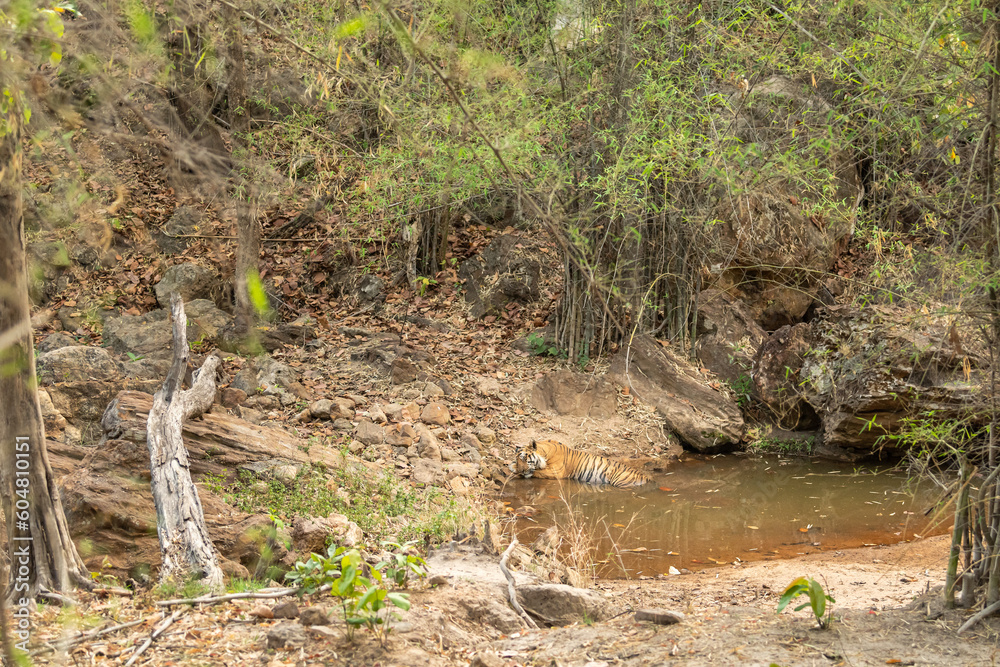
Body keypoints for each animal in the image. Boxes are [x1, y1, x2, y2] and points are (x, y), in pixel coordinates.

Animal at [510, 439, 652, 488]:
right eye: (518, 459)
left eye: (524, 458)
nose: (522, 471)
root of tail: (648, 478)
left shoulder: (555, 472)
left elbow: (536, 472)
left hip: (620, 481)